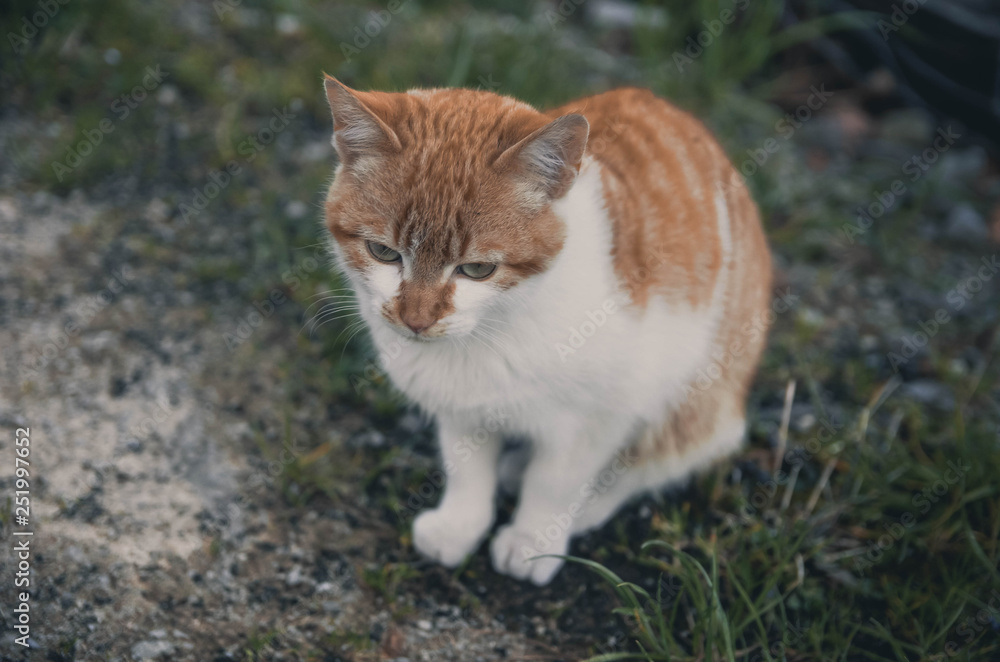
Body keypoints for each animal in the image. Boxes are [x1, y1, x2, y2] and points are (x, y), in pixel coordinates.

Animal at [320, 75, 772, 588]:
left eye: (477, 268)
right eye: (383, 252)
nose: (416, 319)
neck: (490, 336)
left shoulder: (599, 415)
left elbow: (555, 482)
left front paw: (534, 540)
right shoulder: (460, 408)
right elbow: (466, 469)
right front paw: (460, 526)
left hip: (696, 390)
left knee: (659, 457)